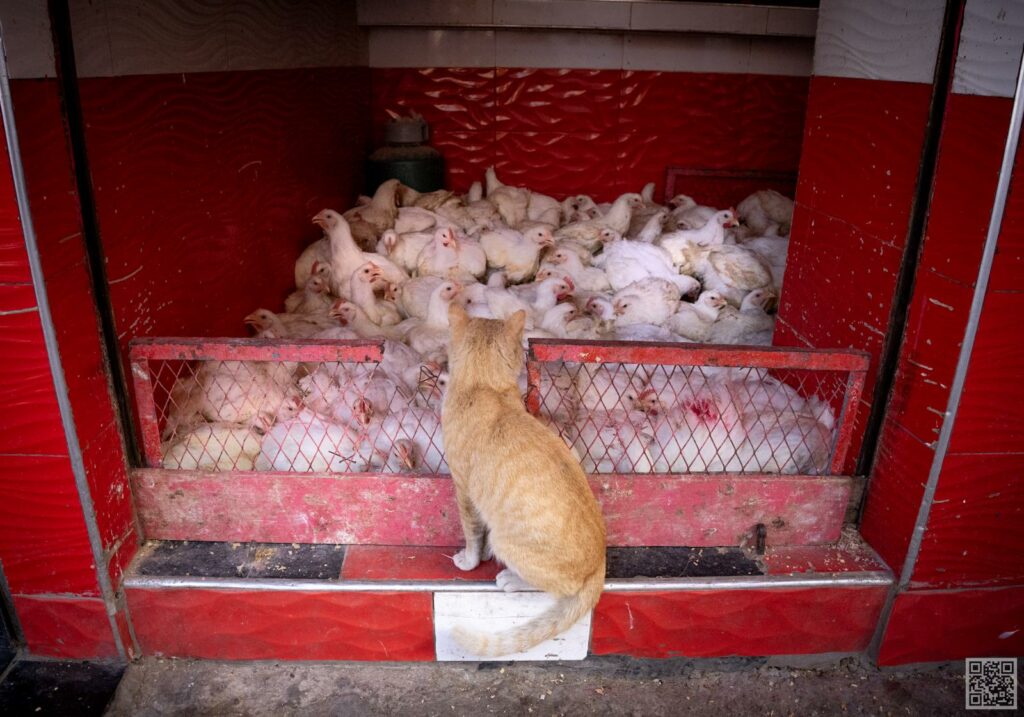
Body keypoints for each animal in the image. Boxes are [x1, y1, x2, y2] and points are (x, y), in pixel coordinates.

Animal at [442, 303, 602, 655]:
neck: (484, 387)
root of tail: (600, 564)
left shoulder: (464, 490)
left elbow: (472, 534)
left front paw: (470, 560)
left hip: (507, 541)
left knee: (557, 589)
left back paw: (511, 579)